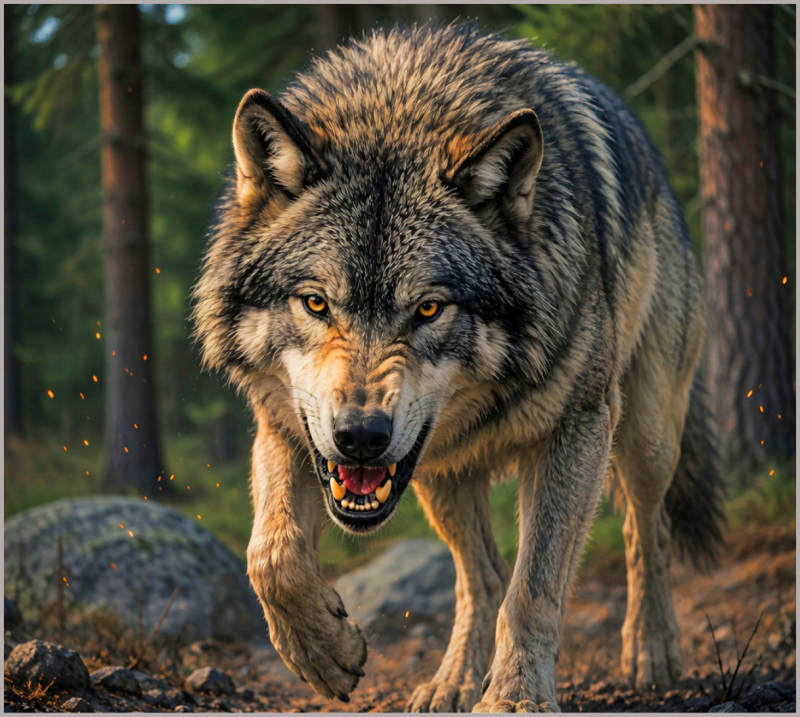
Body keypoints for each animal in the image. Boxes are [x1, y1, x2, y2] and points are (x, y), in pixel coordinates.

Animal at [193, 23, 724, 713]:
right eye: (315, 303)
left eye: (428, 308)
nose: (359, 438)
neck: (399, 104)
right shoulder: (286, 423)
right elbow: (270, 557)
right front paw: (323, 653)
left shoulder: (578, 428)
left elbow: (534, 590)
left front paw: (516, 698)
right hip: (437, 474)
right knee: (481, 574)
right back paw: (451, 682)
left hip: (645, 434)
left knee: (645, 531)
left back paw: (651, 648)